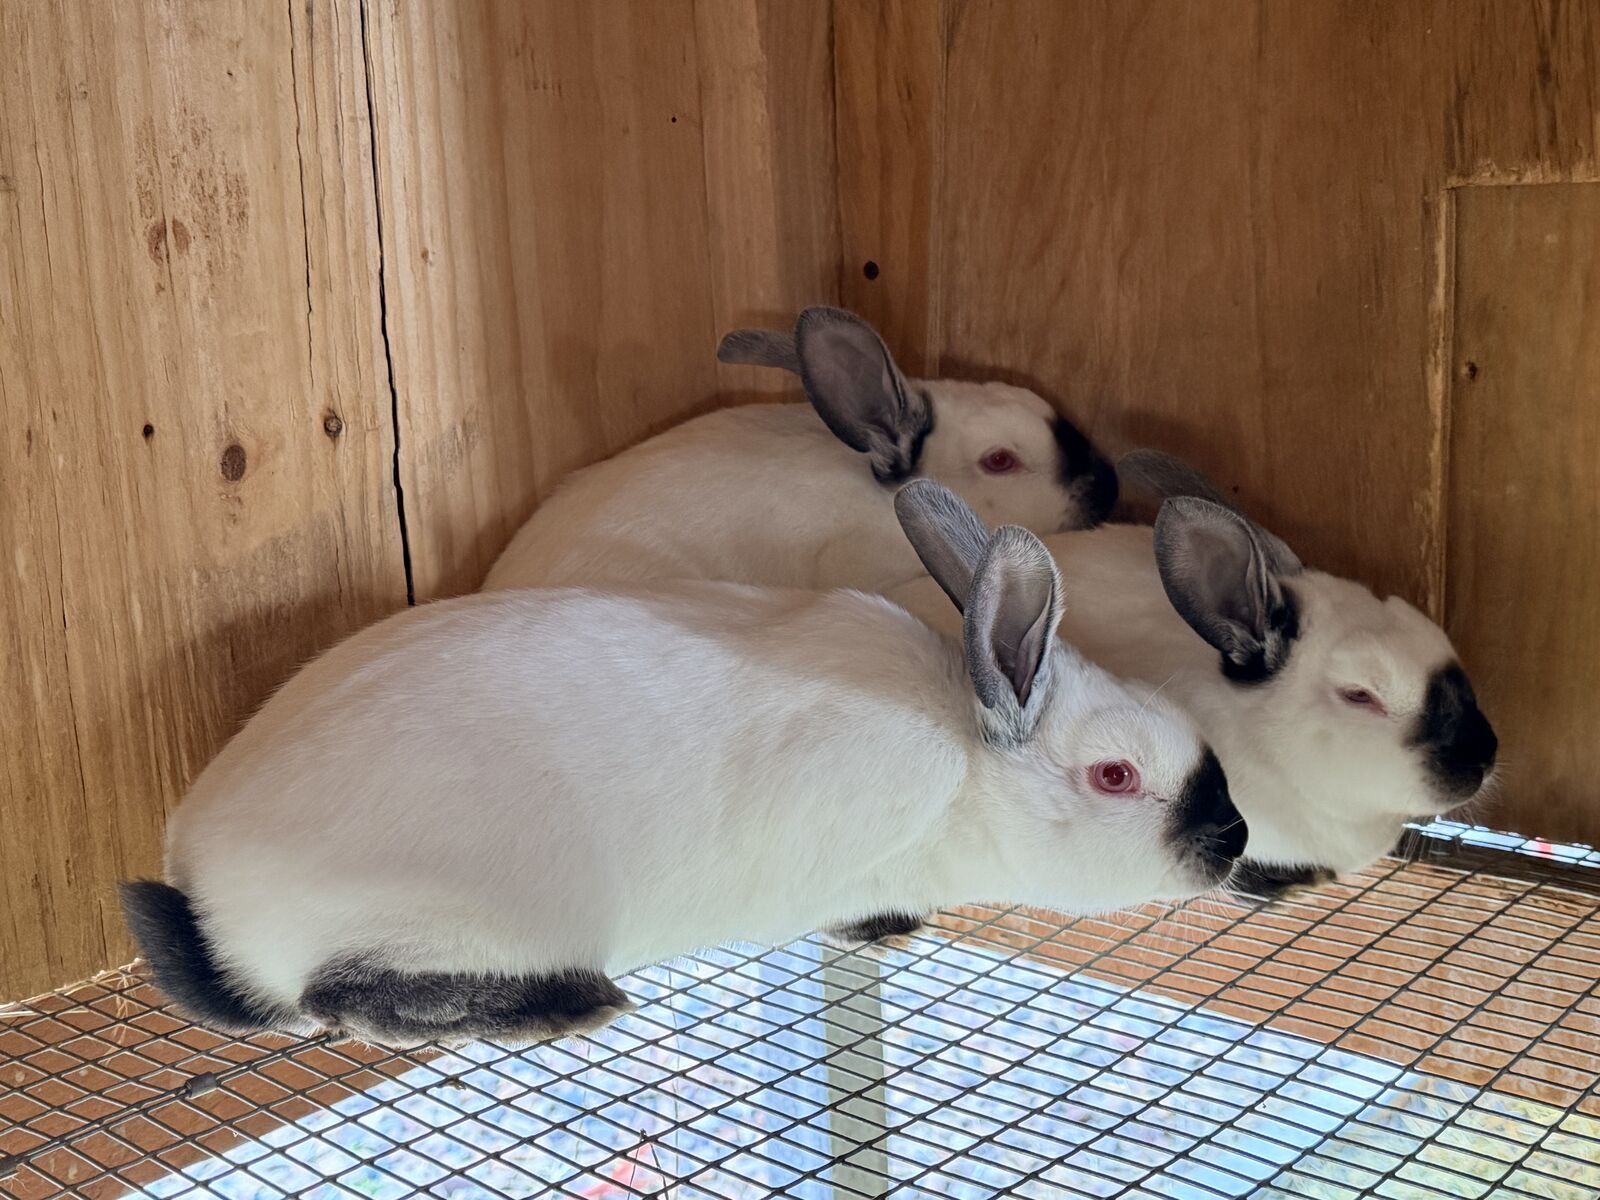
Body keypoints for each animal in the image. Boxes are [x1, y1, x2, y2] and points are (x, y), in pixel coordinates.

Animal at [121, 482, 1244, 1049]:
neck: (967, 758)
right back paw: (567, 1005)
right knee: (337, 996)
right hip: (463, 916)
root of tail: (208, 896)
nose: (1231, 838)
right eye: (1115, 777)